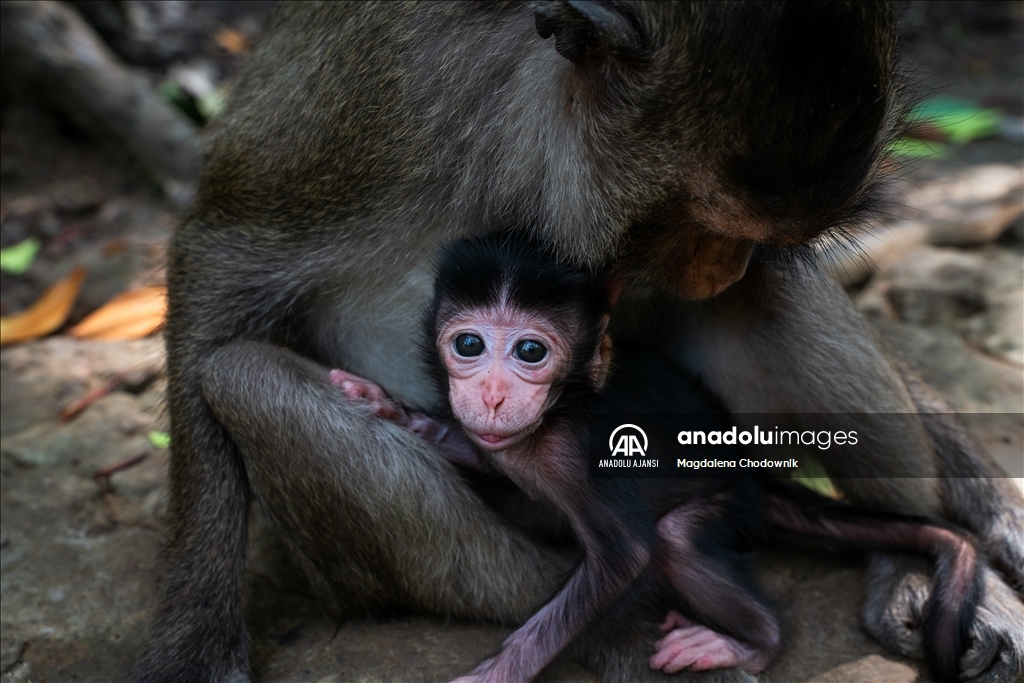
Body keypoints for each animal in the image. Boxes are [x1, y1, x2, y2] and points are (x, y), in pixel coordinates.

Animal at [331, 232, 978, 679]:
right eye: (468, 344)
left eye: (530, 352)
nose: (492, 395)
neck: (557, 411)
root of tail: (753, 475)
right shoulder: (500, 442)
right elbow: (476, 446)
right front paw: (387, 406)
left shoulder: (576, 458)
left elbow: (626, 557)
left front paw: (503, 671)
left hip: (725, 500)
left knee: (676, 540)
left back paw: (752, 641)